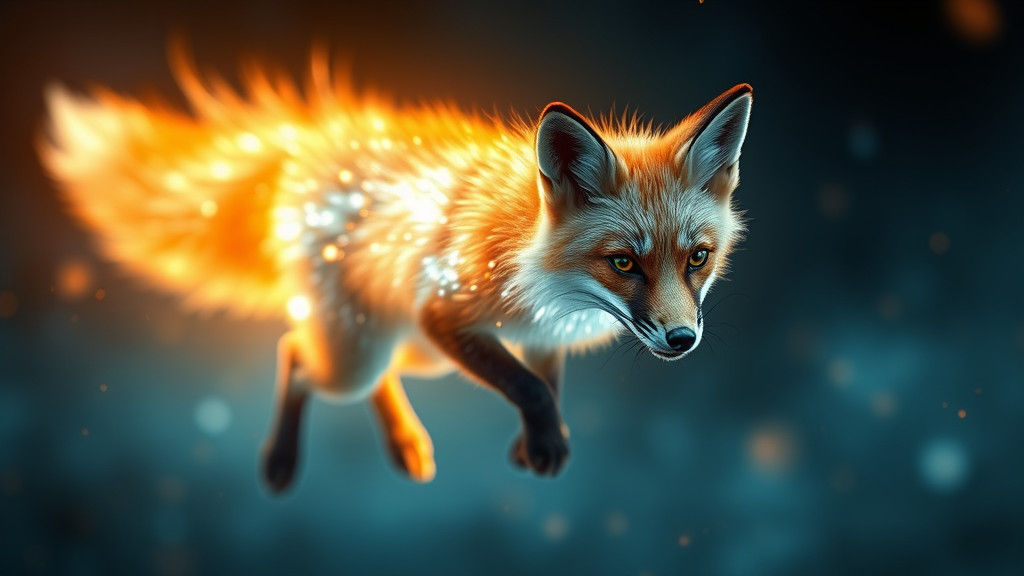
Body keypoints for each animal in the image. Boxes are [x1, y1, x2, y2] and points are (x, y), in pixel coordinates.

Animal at [39, 49, 752, 492]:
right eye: (623, 262)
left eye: (697, 257)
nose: (682, 340)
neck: (549, 284)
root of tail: (313, 147)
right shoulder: (445, 313)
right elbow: (529, 388)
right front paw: (546, 444)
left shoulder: (532, 337)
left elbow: (544, 382)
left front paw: (535, 444)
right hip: (366, 350)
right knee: (294, 351)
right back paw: (280, 461)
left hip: (411, 350)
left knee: (360, 369)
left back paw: (405, 443)